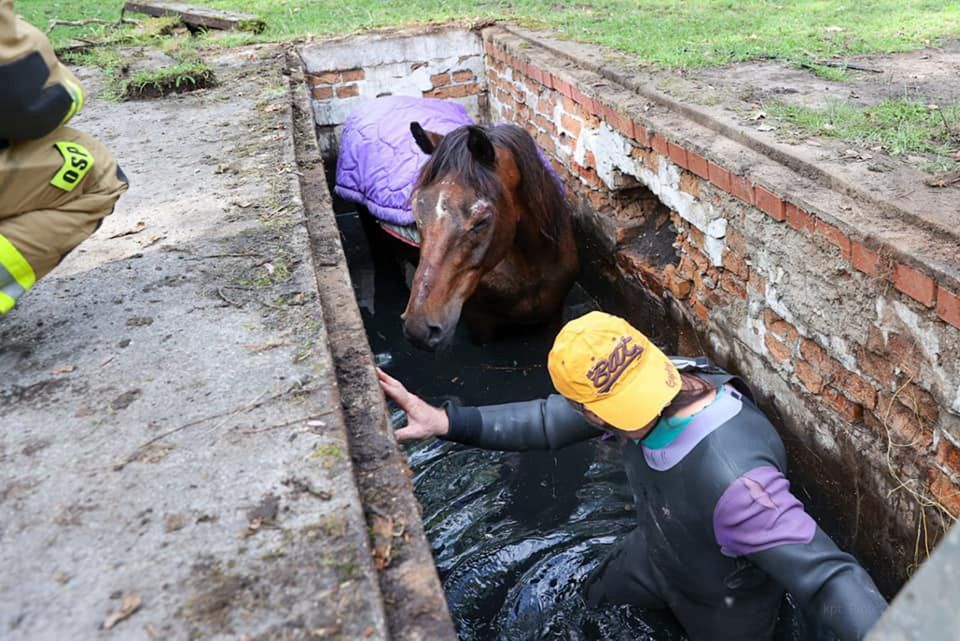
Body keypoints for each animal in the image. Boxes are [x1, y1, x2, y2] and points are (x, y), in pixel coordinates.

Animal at [400, 120, 576, 350]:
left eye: (482, 221)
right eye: (417, 210)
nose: (417, 329)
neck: (530, 271)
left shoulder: (554, 316)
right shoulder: (480, 325)